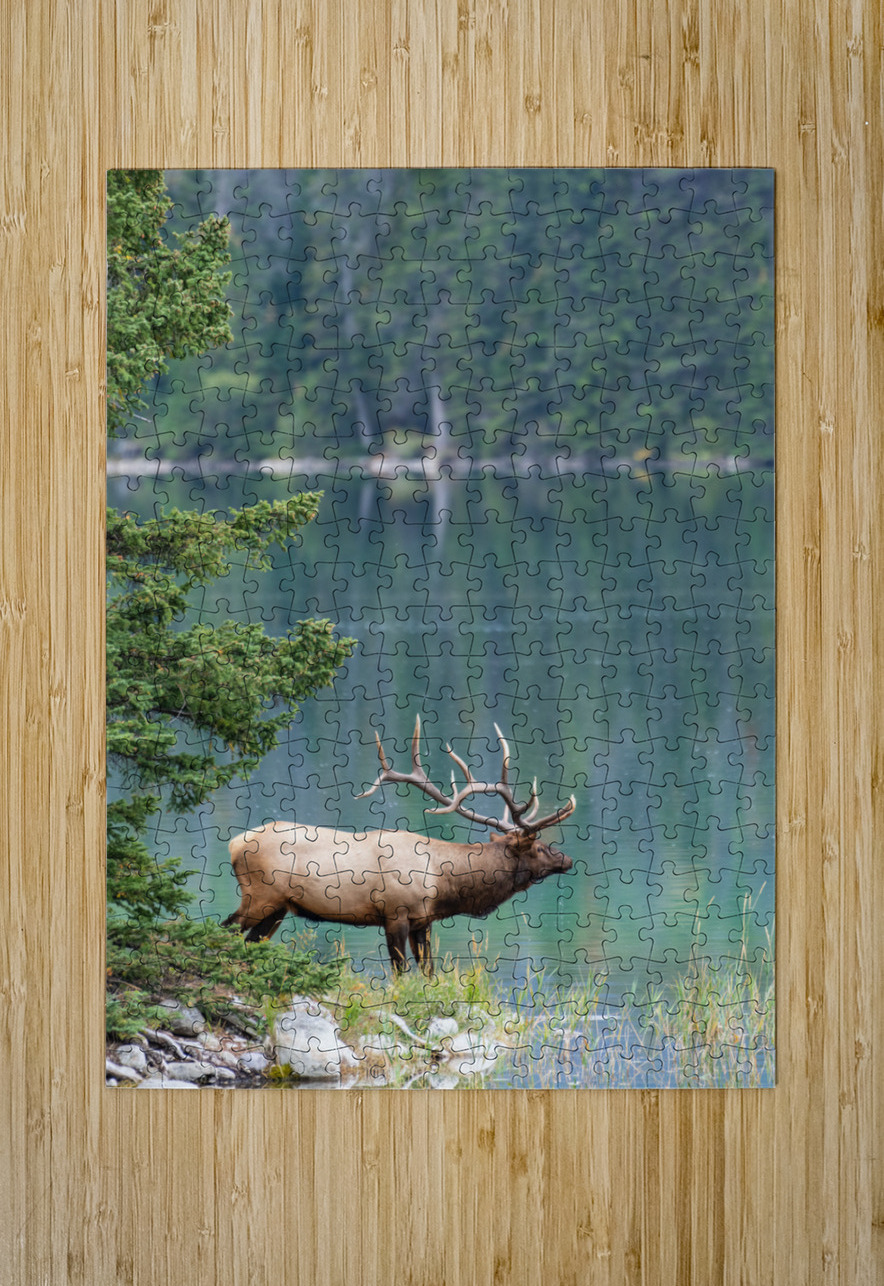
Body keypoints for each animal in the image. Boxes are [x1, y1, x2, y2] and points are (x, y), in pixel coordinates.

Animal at [223, 718, 576, 974]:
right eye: (538, 846)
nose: (568, 859)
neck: (443, 881)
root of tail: (234, 843)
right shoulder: (396, 914)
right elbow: (400, 973)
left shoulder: (424, 921)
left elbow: (429, 973)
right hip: (260, 896)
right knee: (226, 930)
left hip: (278, 908)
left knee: (248, 943)